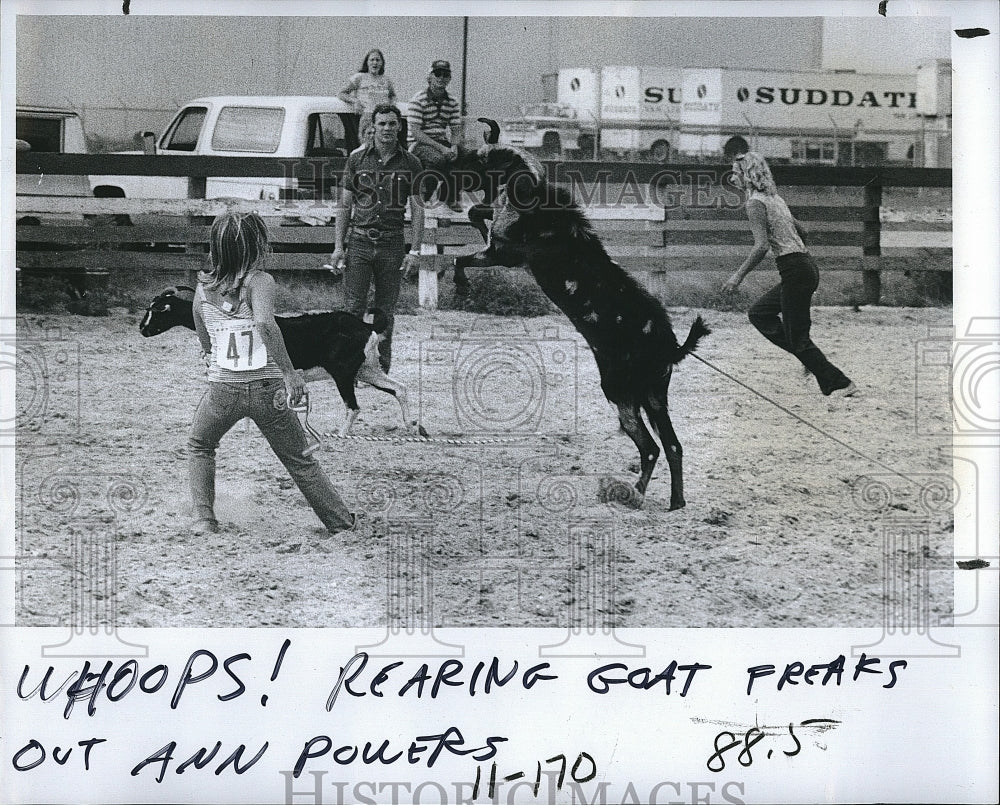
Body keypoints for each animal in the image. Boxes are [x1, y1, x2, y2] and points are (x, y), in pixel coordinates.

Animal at [139, 288, 424, 440]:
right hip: (367, 370)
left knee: (353, 407)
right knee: (399, 388)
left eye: (158, 311)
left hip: (343, 372)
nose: (142, 329)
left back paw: (340, 434)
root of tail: (366, 326)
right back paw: (412, 427)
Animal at [456, 148, 712, 508]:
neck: (536, 205)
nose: (452, 164)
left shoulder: (504, 254)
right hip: (654, 396)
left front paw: (461, 282)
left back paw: (633, 494)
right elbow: (476, 220)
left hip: (621, 394)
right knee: (671, 445)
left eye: (482, 160)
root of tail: (670, 346)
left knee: (650, 447)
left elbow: (464, 256)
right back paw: (672, 501)